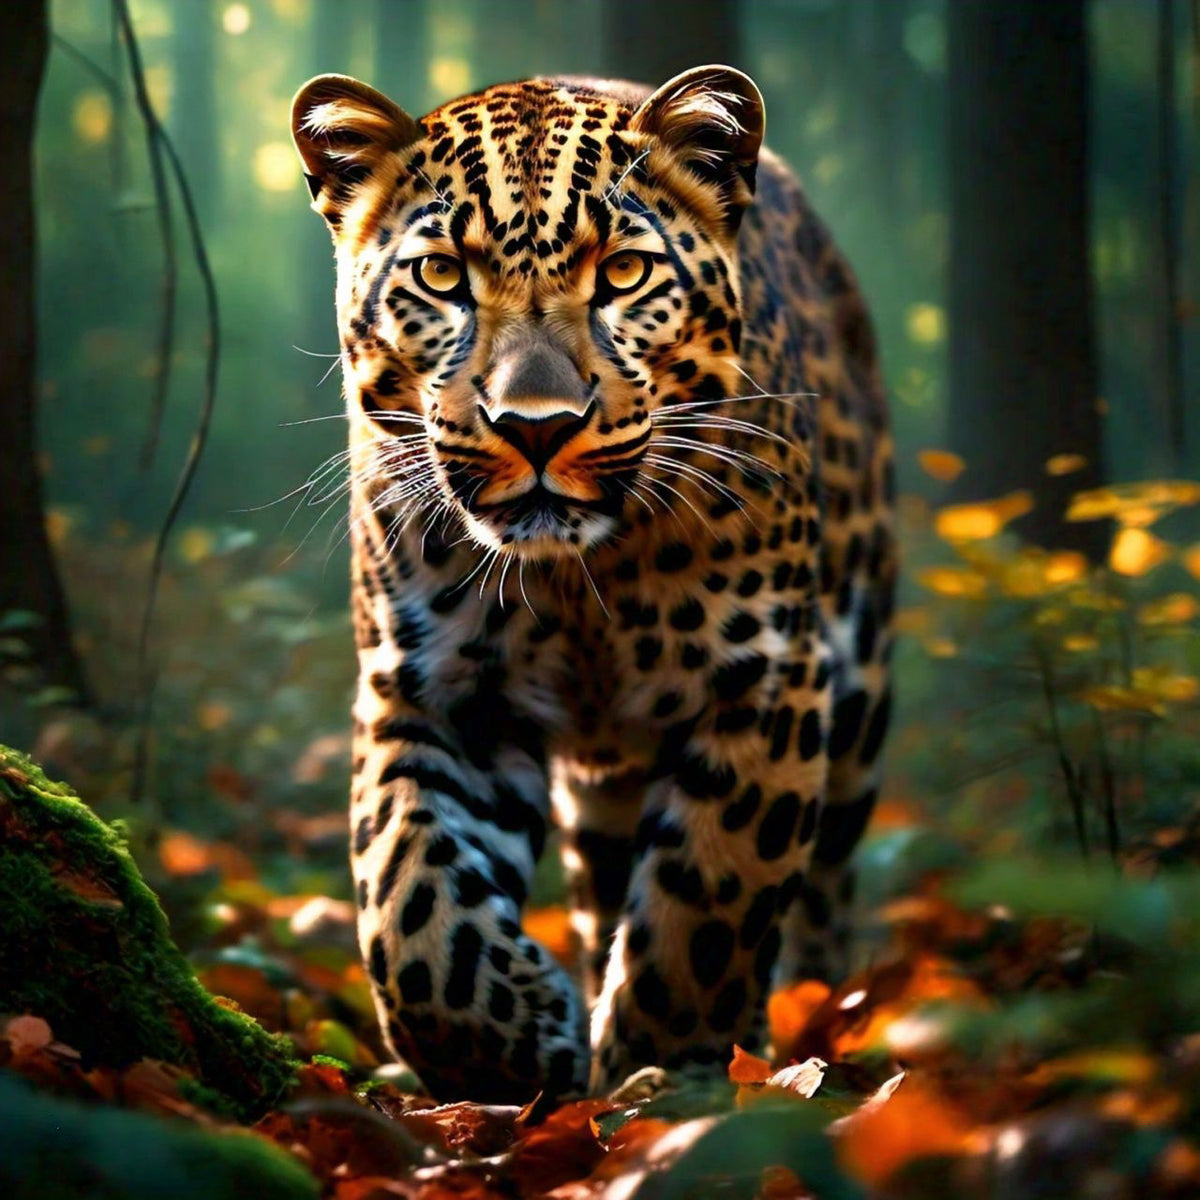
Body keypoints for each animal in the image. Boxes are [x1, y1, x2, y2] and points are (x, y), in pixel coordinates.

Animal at [290, 64, 895, 1104]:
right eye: (442, 277)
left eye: (621, 274)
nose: (537, 425)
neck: (581, 581)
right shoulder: (434, 693)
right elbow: (408, 903)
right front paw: (518, 1041)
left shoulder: (768, 679)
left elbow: (712, 894)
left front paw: (671, 1072)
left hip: (860, 697)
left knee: (825, 880)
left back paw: (818, 1007)